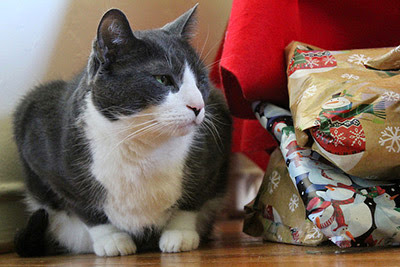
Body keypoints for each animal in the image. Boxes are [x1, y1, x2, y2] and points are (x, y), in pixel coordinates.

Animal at [13, 5, 231, 258]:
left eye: (201, 81)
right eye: (163, 79)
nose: (198, 106)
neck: (142, 143)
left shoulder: (214, 151)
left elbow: (193, 198)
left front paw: (180, 234)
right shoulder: (37, 136)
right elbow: (83, 205)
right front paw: (112, 240)